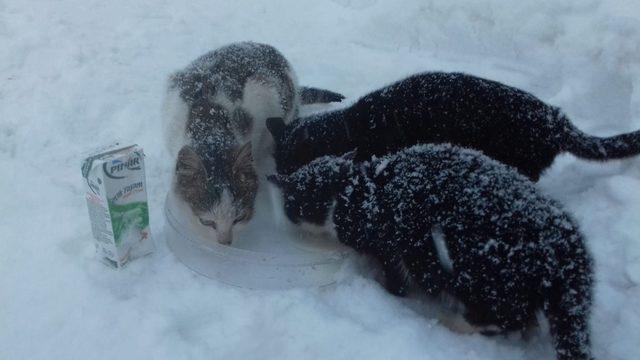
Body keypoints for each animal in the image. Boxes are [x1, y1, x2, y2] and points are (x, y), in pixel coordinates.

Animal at [268, 144, 592, 360]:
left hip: (479, 275)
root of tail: (566, 247)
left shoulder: (390, 249)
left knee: (503, 317)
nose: (285, 214)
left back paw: (453, 321)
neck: (355, 190)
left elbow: (395, 283)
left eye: (292, 204)